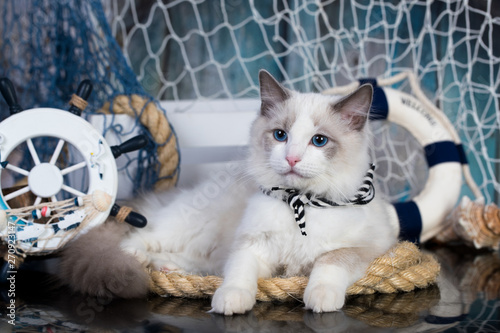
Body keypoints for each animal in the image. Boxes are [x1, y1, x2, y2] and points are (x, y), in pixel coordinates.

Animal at [58, 70, 400, 314]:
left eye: (319, 141)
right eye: (280, 135)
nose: (291, 158)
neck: (298, 201)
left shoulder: (361, 248)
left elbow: (329, 264)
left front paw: (320, 298)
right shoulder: (251, 246)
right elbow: (238, 274)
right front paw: (230, 301)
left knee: (200, 261)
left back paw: (167, 266)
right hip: (187, 224)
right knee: (139, 236)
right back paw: (136, 257)